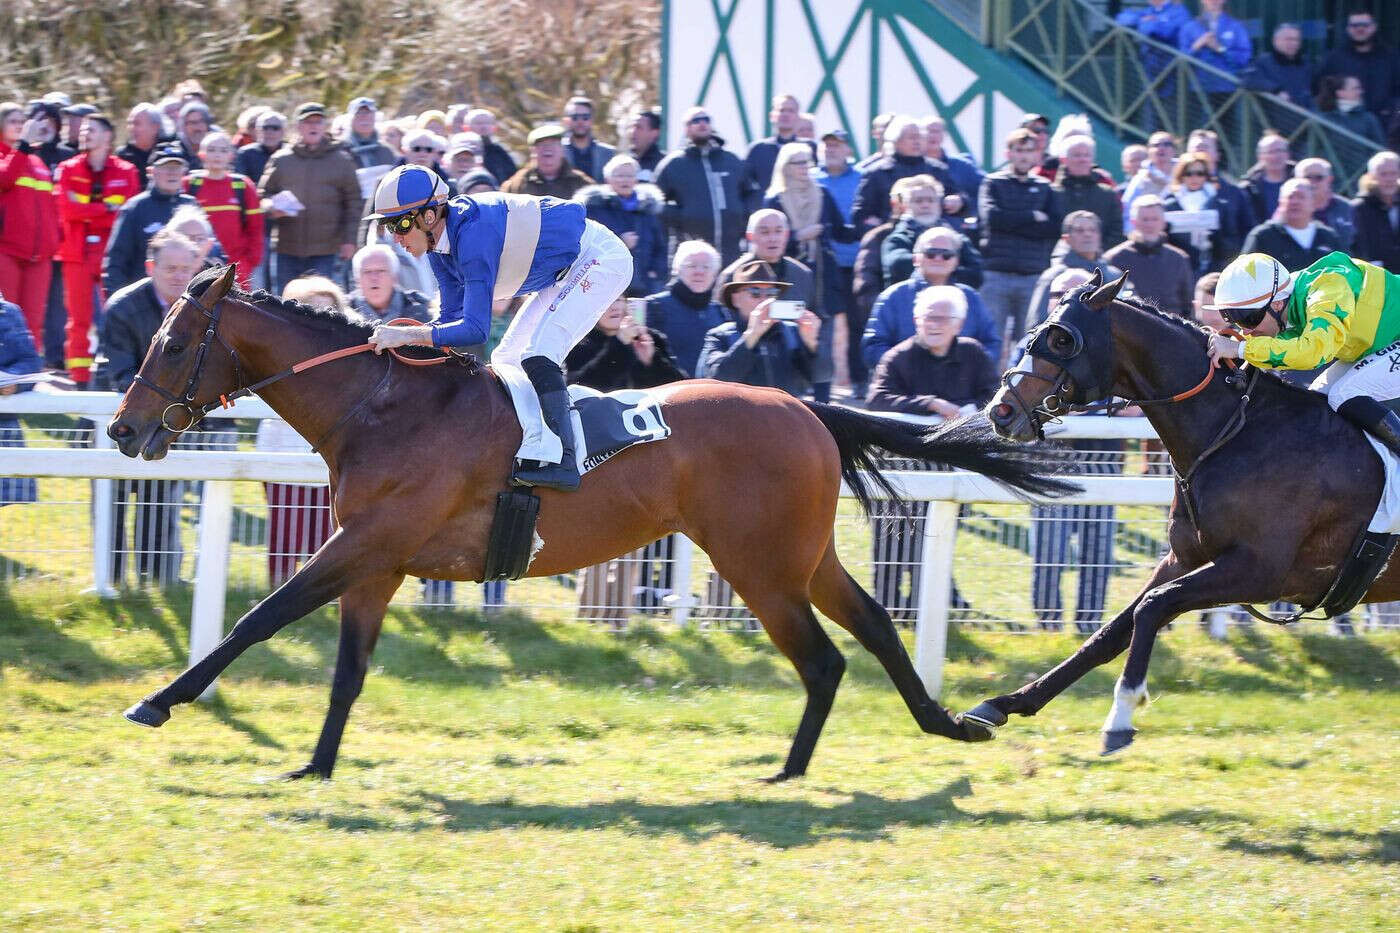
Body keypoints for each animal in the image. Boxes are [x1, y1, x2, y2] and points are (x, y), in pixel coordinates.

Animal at [109, 264, 1069, 778]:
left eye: (172, 343)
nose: (122, 429)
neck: (382, 407)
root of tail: (804, 404)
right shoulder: (375, 563)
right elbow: (346, 671)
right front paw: (315, 762)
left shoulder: (366, 543)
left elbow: (258, 618)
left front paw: (158, 699)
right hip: (799, 555)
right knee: (869, 625)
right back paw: (939, 723)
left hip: (760, 564)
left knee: (825, 656)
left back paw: (793, 767)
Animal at [957, 267, 1394, 750]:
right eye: (1036, 331)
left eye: (1061, 339)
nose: (1000, 411)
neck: (1238, 433)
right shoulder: (1185, 556)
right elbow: (1112, 631)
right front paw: (1004, 703)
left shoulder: (1262, 571)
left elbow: (1152, 607)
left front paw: (1121, 715)